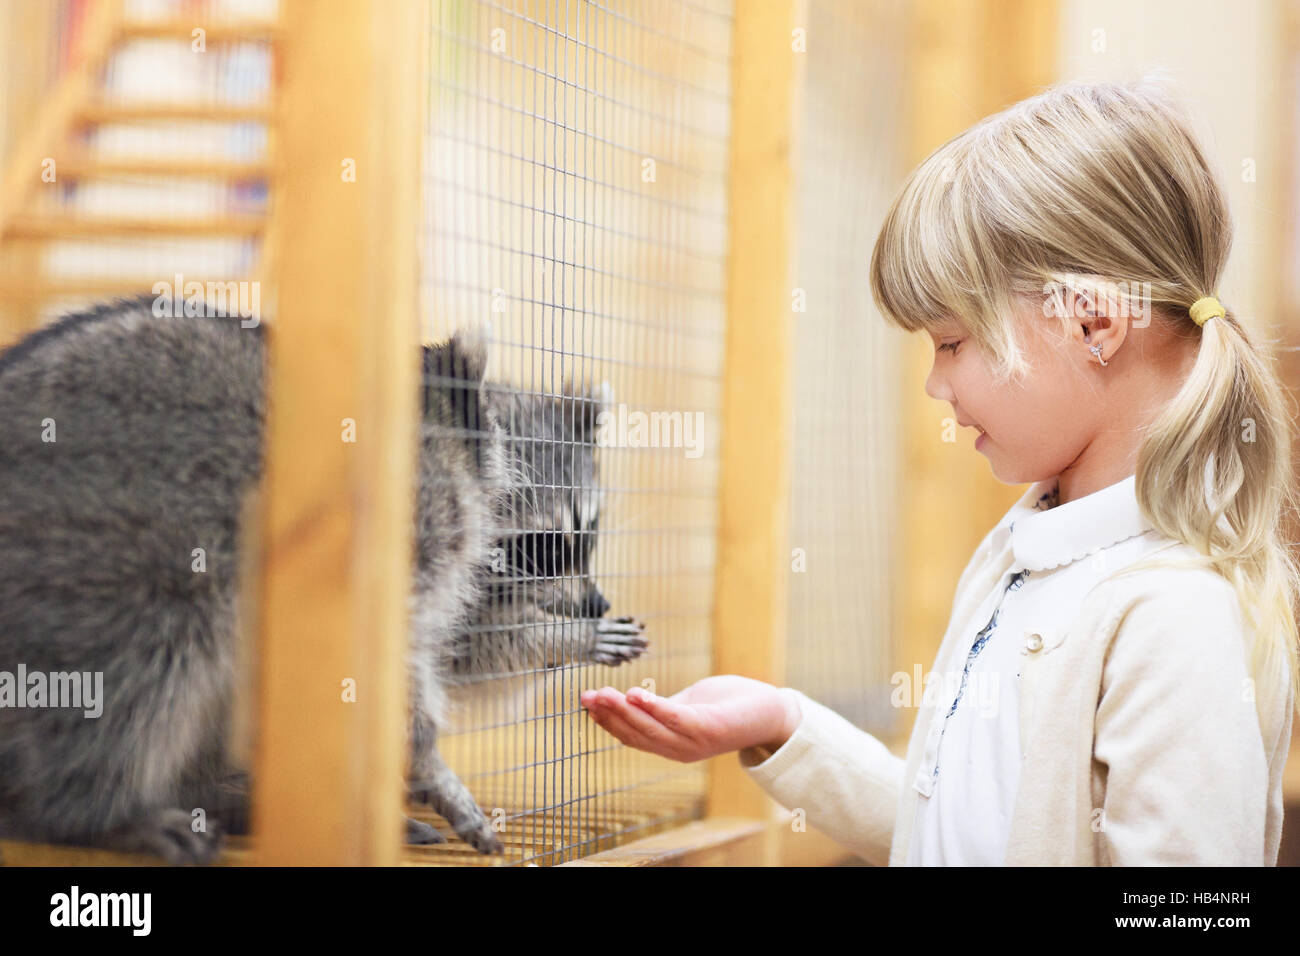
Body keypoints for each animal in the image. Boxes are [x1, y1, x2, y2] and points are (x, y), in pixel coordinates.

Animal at [0, 295, 647, 863]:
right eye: (539, 547)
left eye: (586, 534)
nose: (594, 603)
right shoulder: (421, 523)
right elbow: (415, 656)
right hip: (107, 548)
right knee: (141, 664)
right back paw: (96, 811)